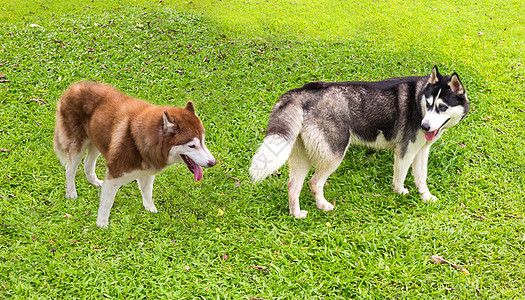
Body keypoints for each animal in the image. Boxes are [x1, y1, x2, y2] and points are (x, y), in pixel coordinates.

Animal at [53, 82, 217, 227]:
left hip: (96, 139)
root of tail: (73, 86)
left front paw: (150, 208)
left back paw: (93, 181)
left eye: (203, 141)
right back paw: (71, 193)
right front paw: (102, 224)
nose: (212, 162)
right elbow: (107, 203)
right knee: (70, 169)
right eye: (192, 146)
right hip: (78, 145)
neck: (144, 140)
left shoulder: (148, 172)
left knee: (87, 162)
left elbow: (147, 192)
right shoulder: (114, 175)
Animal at [250, 66, 470, 218]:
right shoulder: (405, 152)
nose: (424, 126)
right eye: (429, 104)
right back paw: (322, 205)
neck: (418, 99)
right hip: (334, 154)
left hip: (301, 158)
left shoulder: (421, 151)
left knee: (293, 186)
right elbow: (400, 178)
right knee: (314, 182)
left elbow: (421, 177)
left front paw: (426, 197)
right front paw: (400, 193)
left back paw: (296, 214)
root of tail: (303, 91)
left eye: (442, 108)